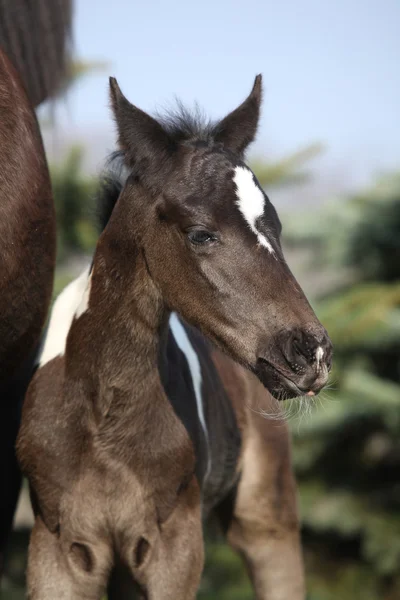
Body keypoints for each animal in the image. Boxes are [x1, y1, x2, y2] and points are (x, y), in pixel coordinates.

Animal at [17, 76, 332, 600]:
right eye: (201, 234)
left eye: (276, 226)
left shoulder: (175, 548)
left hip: (267, 521)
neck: (103, 414)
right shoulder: (57, 549)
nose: (311, 353)